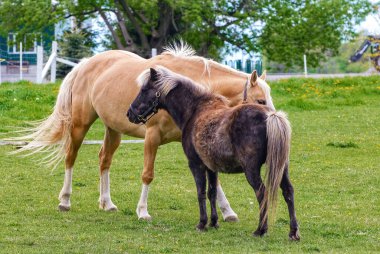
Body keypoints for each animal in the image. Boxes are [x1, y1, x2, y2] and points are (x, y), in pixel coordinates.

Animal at [14, 44, 274, 222]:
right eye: (260, 100)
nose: (272, 125)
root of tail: (86, 64)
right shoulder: (152, 138)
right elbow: (147, 174)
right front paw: (142, 211)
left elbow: (215, 181)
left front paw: (228, 212)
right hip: (80, 125)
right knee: (70, 157)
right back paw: (65, 200)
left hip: (113, 130)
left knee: (104, 160)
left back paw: (107, 203)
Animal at [127, 66, 300, 240]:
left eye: (144, 90)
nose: (130, 114)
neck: (195, 110)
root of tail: (271, 116)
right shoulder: (211, 167)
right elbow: (212, 192)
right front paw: (213, 222)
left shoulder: (196, 165)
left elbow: (201, 192)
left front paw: (202, 223)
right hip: (281, 168)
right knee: (288, 192)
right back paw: (293, 232)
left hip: (252, 170)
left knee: (262, 193)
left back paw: (260, 230)